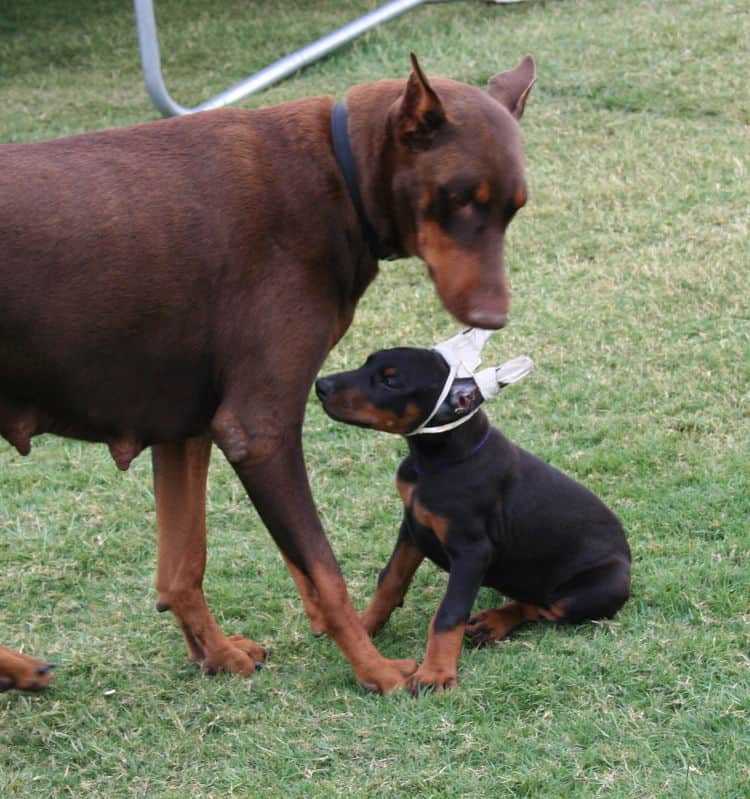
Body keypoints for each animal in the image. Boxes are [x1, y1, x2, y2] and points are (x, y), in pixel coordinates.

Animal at [2, 54, 536, 692]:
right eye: (458, 198)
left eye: (515, 206)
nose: (494, 319)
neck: (340, 176)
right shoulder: (257, 430)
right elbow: (325, 572)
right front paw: (377, 671)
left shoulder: (182, 428)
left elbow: (182, 568)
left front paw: (218, 656)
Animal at [314, 340, 632, 692]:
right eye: (366, 363)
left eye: (390, 381)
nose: (321, 386)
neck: (439, 460)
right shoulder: (412, 527)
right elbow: (391, 580)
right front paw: (363, 628)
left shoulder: (472, 551)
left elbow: (449, 613)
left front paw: (435, 673)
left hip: (602, 587)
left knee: (543, 607)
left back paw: (494, 622)